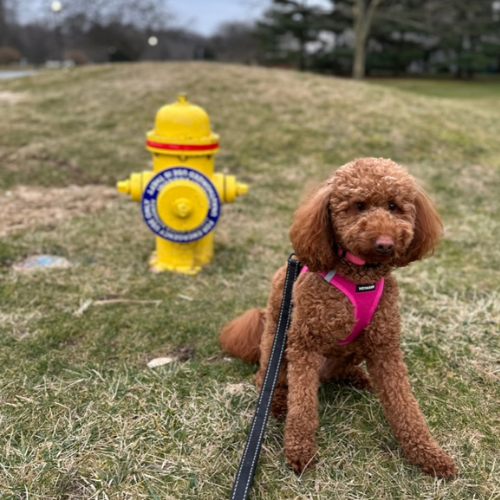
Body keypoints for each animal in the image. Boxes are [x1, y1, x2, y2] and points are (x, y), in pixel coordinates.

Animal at [219, 158, 458, 478]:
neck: (360, 277)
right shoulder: (304, 343)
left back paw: (356, 376)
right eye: (358, 206)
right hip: (276, 345)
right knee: (267, 380)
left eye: (393, 206)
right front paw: (300, 450)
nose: (385, 243)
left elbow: (405, 406)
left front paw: (430, 454)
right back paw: (279, 404)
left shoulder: (384, 346)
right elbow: (303, 406)